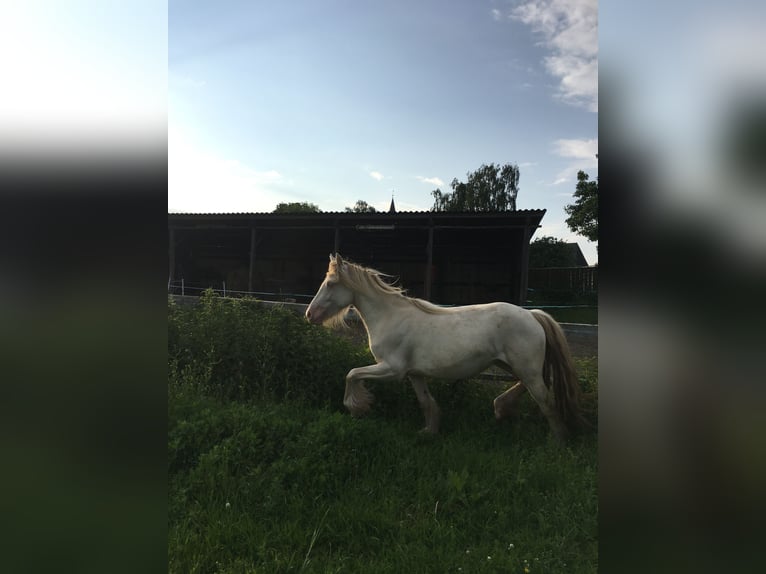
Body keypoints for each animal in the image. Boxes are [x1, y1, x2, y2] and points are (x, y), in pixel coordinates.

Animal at [306, 254, 584, 444]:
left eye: (330, 283)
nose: (310, 314)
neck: (390, 316)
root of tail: (533, 314)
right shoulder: (414, 374)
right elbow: (426, 403)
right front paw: (429, 431)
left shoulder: (392, 369)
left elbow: (351, 374)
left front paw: (357, 407)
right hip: (512, 365)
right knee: (531, 387)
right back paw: (501, 408)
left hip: (526, 368)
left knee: (546, 400)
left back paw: (558, 442)